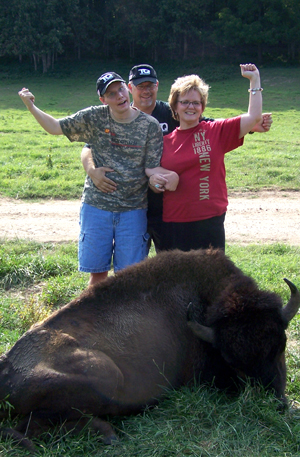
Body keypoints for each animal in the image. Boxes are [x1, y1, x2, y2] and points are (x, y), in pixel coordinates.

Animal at [0, 248, 298, 450]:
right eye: (230, 359)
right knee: (31, 427)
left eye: (280, 346)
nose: (273, 402)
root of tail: (6, 368)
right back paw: (108, 434)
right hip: (107, 374)